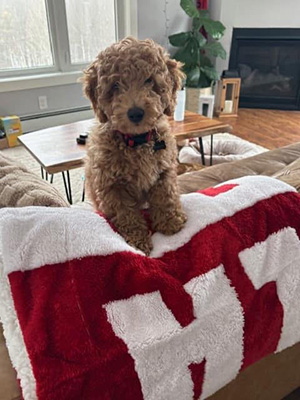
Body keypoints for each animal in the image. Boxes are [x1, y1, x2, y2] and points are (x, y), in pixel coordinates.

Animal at [82, 38, 185, 256]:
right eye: (115, 86)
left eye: (149, 80)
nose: (136, 113)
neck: (136, 141)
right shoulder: (112, 186)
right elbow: (126, 214)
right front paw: (138, 241)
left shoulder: (164, 170)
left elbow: (166, 195)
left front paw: (170, 221)